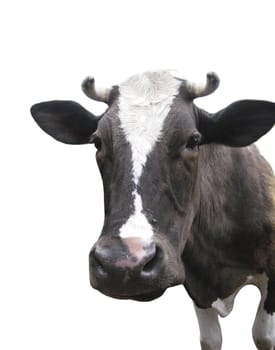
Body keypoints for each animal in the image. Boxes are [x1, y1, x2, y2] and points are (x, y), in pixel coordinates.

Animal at [30, 71, 275, 350]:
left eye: (193, 141)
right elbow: (211, 339)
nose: (122, 263)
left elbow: (263, 335)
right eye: (97, 142)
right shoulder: (195, 282)